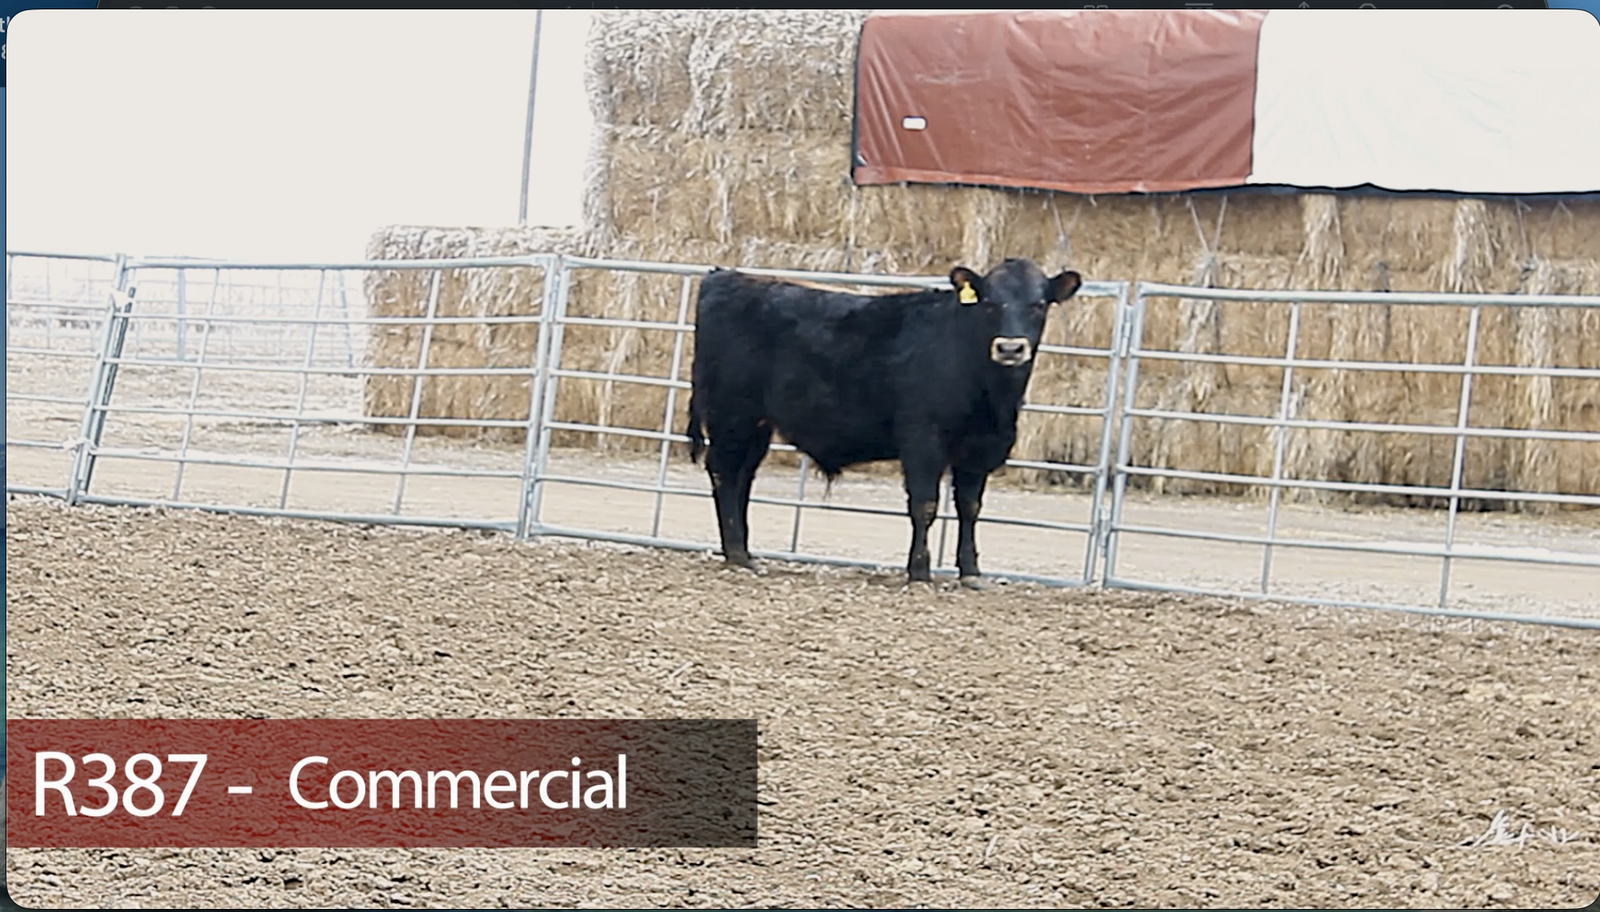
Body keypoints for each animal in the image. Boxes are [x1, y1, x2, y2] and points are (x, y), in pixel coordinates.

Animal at [684, 258, 1083, 588]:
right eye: (989, 303)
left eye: (1038, 305)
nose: (1010, 348)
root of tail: (726, 277)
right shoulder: (923, 439)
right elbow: (924, 505)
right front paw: (919, 572)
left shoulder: (979, 449)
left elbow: (970, 508)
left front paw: (971, 572)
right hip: (732, 415)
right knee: (723, 472)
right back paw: (737, 553)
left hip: (757, 424)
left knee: (742, 477)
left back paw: (744, 551)